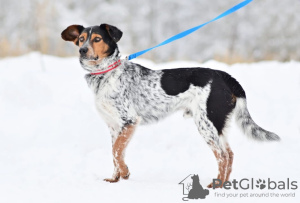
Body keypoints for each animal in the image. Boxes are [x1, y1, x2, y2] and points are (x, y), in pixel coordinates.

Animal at [61, 23, 282, 186]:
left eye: (97, 39)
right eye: (81, 39)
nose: (82, 50)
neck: (105, 73)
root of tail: (225, 76)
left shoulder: (129, 121)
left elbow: (116, 151)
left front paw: (125, 173)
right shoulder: (115, 126)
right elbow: (116, 153)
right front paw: (115, 178)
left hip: (206, 123)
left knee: (222, 156)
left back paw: (216, 185)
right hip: (218, 125)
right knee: (230, 153)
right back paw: (224, 184)